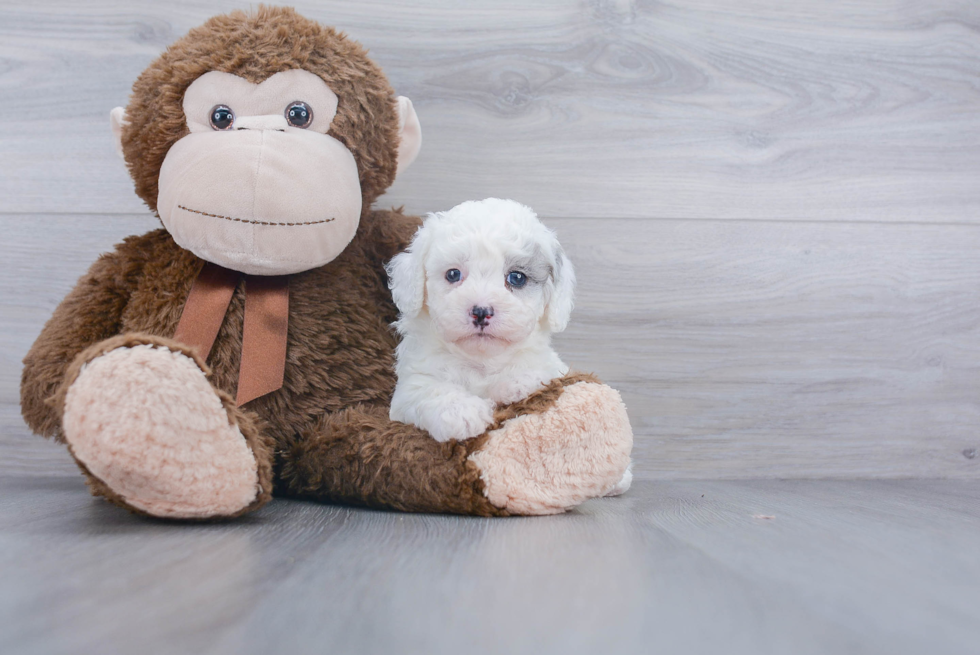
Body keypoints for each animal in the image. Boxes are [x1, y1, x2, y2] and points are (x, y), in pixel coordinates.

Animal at [384, 197, 576, 444]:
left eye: (517, 277)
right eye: (453, 274)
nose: (482, 312)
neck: (480, 362)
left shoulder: (555, 368)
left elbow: (539, 371)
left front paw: (518, 381)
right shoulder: (409, 388)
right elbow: (428, 390)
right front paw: (461, 412)